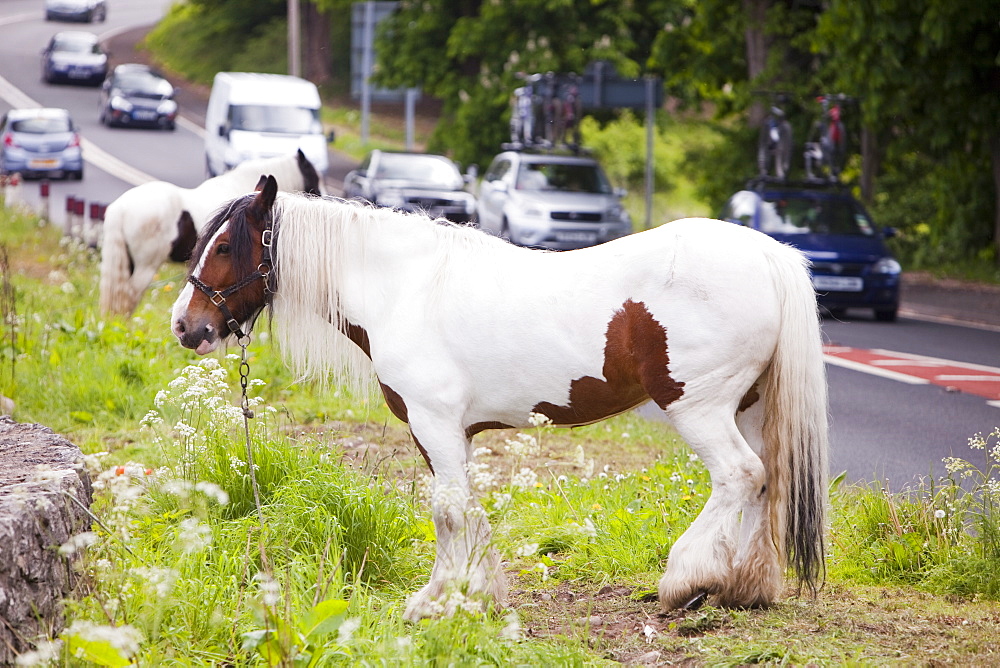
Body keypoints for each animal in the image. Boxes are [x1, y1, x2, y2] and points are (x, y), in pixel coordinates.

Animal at [170, 175, 828, 620]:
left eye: (225, 246)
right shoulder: (452, 433)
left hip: (698, 407)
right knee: (765, 480)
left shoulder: (433, 424)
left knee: (740, 475)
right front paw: (473, 591)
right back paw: (743, 587)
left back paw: (686, 579)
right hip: (751, 407)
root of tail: (768, 255)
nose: (185, 325)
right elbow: (464, 509)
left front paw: (438, 600)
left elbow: (447, 510)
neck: (403, 287)